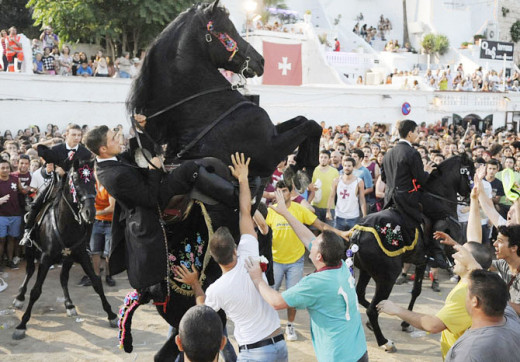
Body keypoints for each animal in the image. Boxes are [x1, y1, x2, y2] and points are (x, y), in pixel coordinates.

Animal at [352, 154, 474, 352]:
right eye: (471, 171)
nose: (470, 198)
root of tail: (359, 232)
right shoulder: (450, 252)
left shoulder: (421, 261)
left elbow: (416, 291)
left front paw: (405, 322)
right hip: (386, 278)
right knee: (371, 309)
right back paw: (385, 342)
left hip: (365, 271)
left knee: (362, 297)